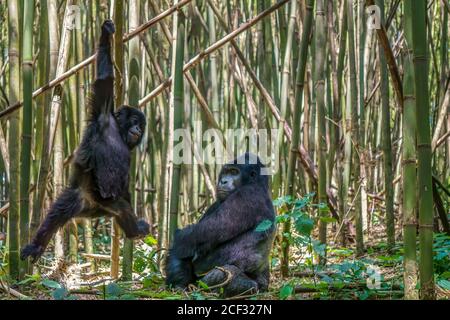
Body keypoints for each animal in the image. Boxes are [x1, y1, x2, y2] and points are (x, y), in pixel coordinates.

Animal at [21, 20, 149, 262]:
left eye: (142, 125)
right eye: (135, 120)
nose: (138, 128)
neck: (118, 132)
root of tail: (91, 204)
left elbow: (126, 184)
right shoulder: (103, 112)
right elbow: (105, 80)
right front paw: (106, 34)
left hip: (96, 209)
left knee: (116, 208)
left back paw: (133, 231)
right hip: (81, 196)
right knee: (57, 215)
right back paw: (36, 245)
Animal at [166, 153, 276, 298]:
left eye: (234, 172)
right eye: (225, 172)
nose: (223, 181)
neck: (258, 183)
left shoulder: (247, 195)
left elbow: (191, 238)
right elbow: (187, 243)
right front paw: (178, 279)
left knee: (229, 275)